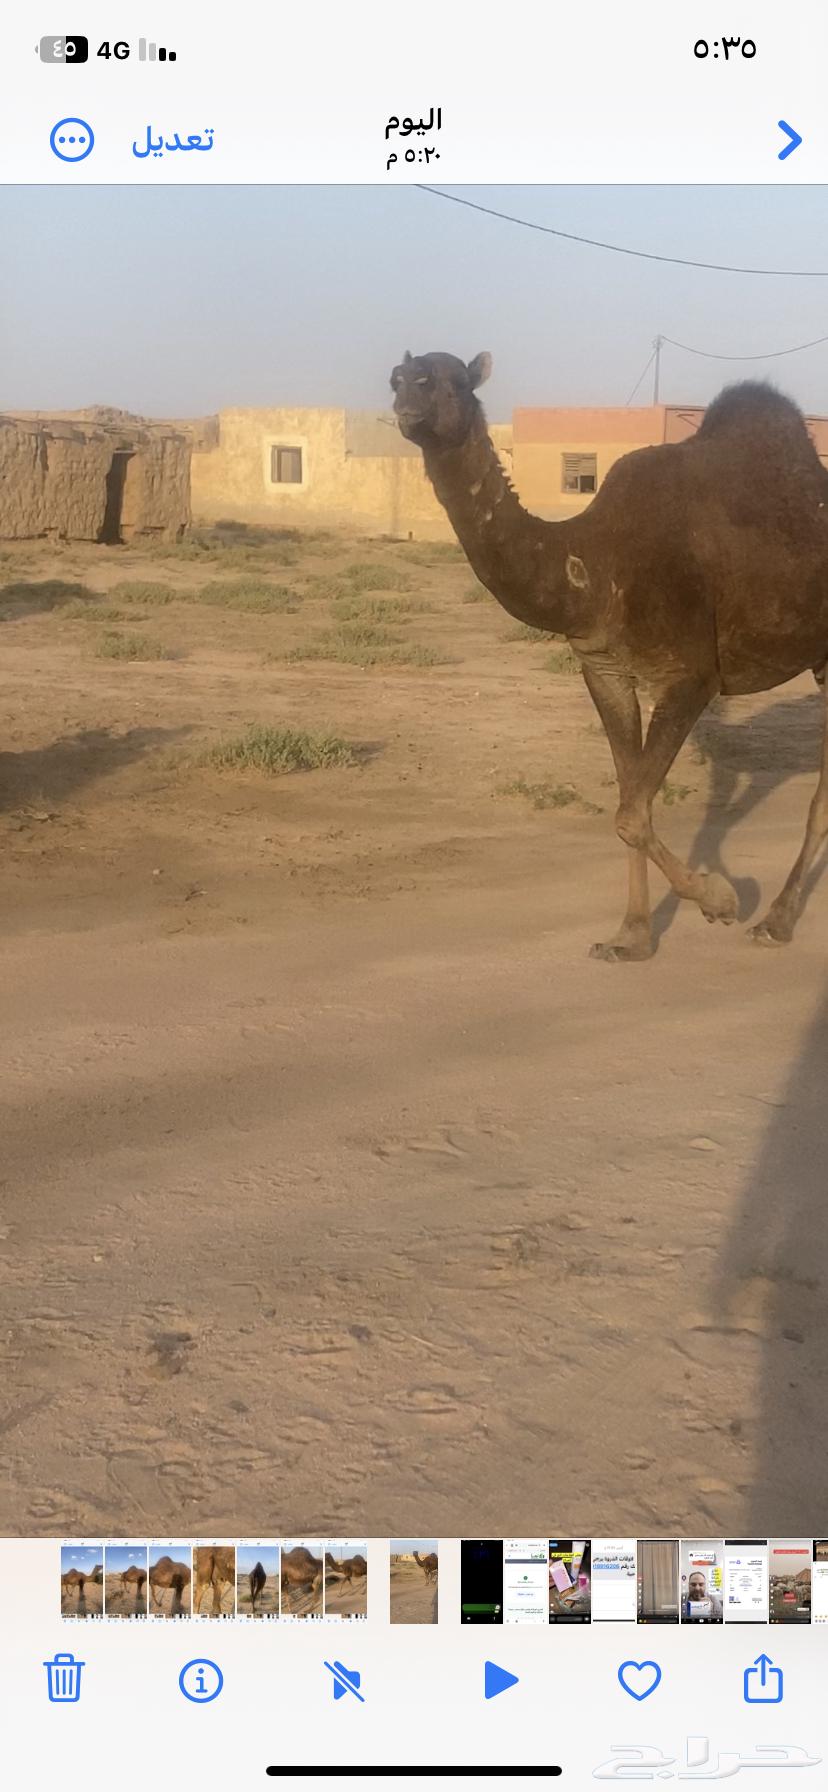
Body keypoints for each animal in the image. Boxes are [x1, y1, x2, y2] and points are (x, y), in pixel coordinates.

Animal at [392, 352, 828, 960]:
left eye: (451, 382)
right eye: (397, 378)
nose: (407, 402)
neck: (595, 564)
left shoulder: (692, 675)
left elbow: (631, 812)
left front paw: (721, 900)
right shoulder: (603, 669)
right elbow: (631, 806)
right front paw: (632, 936)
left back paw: (776, 923)